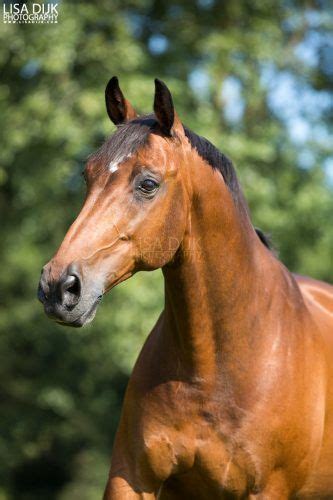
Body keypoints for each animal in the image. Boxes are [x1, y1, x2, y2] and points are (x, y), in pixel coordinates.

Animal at [37, 76, 332, 498]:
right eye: (87, 175)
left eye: (148, 183)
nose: (58, 287)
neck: (212, 372)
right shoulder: (131, 477)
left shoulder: (268, 489)